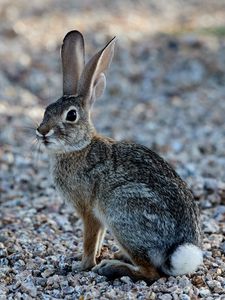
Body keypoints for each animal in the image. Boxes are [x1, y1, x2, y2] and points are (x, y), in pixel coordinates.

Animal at [36, 30, 203, 282]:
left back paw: (111, 268)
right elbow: (97, 239)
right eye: (46, 110)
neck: (79, 147)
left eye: (71, 115)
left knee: (151, 273)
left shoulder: (90, 211)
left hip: (122, 211)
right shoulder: (99, 217)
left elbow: (90, 240)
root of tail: (177, 252)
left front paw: (82, 265)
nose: (42, 131)